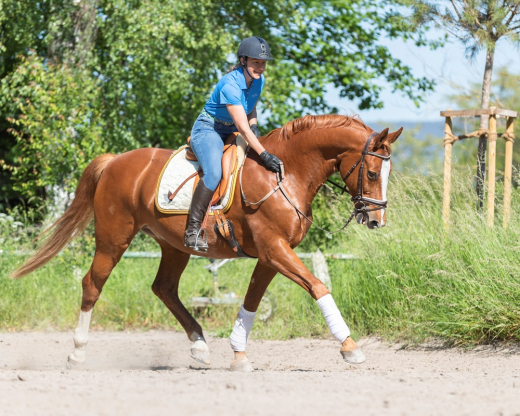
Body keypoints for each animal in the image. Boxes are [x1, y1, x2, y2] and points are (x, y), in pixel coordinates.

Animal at [11, 114, 402, 370]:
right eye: (371, 172)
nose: (376, 220)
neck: (284, 173)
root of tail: (115, 160)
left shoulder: (270, 255)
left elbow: (251, 301)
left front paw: (238, 353)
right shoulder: (274, 249)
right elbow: (318, 286)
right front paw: (350, 346)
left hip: (173, 245)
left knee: (164, 288)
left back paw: (199, 347)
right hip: (113, 238)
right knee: (93, 284)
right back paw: (77, 353)